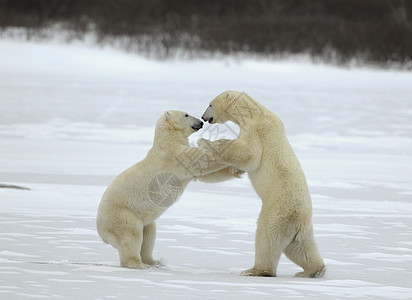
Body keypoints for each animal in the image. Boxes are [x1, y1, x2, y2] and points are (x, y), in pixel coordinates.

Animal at [97, 109, 243, 268]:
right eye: (186, 114)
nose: (201, 122)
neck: (167, 141)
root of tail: (101, 232)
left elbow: (207, 175)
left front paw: (237, 170)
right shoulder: (173, 156)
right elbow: (201, 161)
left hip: (143, 219)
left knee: (149, 233)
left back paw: (154, 261)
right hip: (123, 214)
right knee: (131, 235)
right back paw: (138, 263)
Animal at [200, 90, 326, 278]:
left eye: (210, 104)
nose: (203, 117)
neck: (255, 113)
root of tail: (301, 219)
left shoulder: (258, 129)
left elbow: (247, 152)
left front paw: (205, 142)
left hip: (278, 211)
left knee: (267, 237)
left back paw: (255, 270)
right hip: (302, 229)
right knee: (299, 248)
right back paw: (313, 271)